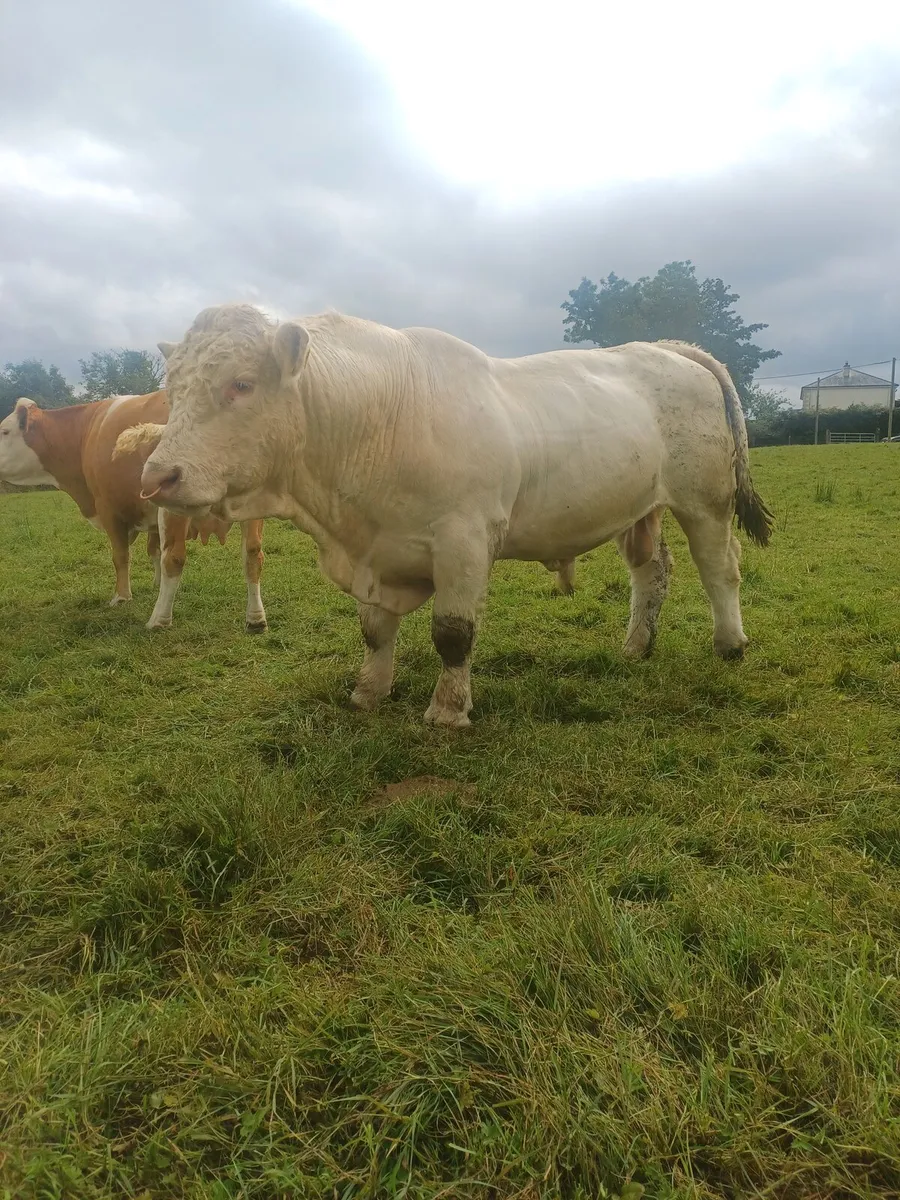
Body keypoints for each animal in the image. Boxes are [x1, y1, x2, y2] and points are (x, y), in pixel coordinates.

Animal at [0, 392, 267, 632]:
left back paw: (159, 620)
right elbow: (153, 550)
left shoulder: (109, 509)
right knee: (252, 554)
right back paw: (256, 619)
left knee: (175, 557)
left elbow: (121, 556)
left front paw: (121, 597)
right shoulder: (150, 516)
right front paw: (155, 583)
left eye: (4, 431)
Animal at [129, 304, 773, 728]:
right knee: (651, 571)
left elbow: (453, 633)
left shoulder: (464, 540)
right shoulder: (376, 549)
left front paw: (447, 710)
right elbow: (374, 630)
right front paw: (369, 691)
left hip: (705, 502)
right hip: (640, 509)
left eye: (241, 384)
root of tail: (667, 348)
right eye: (172, 392)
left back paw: (730, 642)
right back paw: (637, 644)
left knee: (720, 569)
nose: (156, 477)